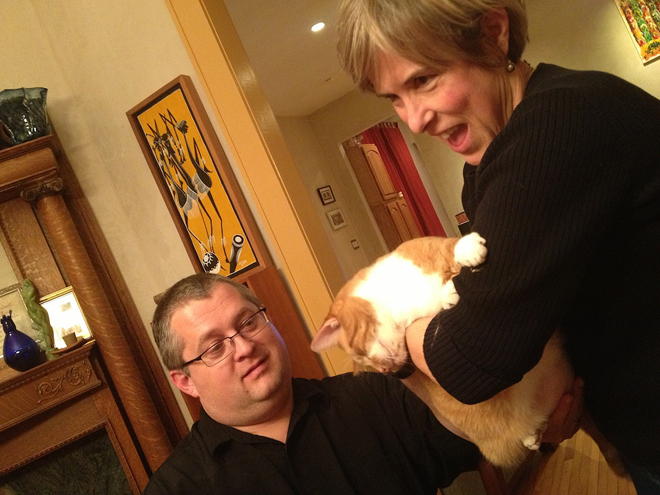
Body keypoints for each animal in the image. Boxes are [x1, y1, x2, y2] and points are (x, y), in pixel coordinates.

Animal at [311, 234, 626, 473]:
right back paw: (532, 437)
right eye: (365, 364)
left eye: (361, 356)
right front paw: (447, 295)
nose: (395, 373)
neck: (400, 301)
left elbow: (451, 246)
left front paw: (467, 250)